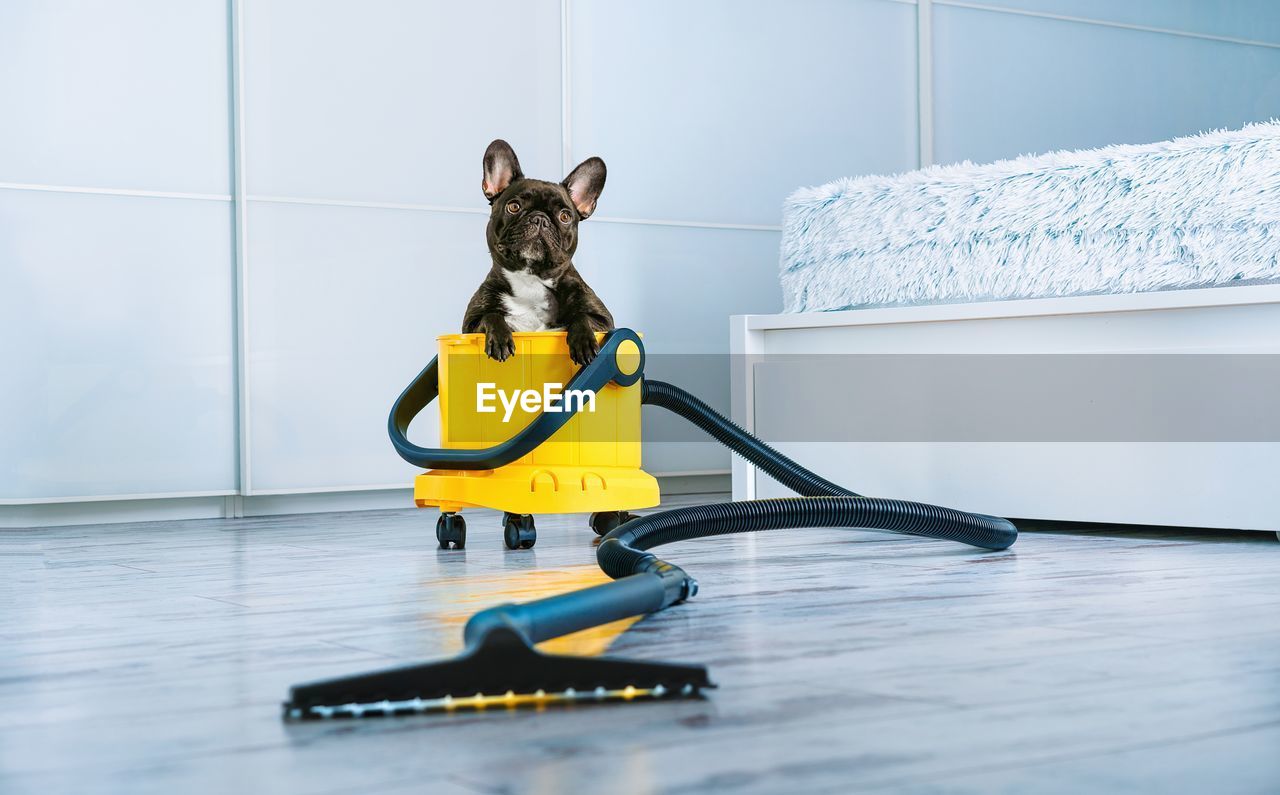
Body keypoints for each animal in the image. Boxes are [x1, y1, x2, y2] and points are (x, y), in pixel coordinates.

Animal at [465, 140, 614, 363]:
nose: (540, 219)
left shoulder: (604, 320)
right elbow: (492, 315)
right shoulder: (470, 323)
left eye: (565, 216)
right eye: (514, 207)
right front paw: (500, 339)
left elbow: (581, 317)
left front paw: (584, 342)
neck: (530, 279)